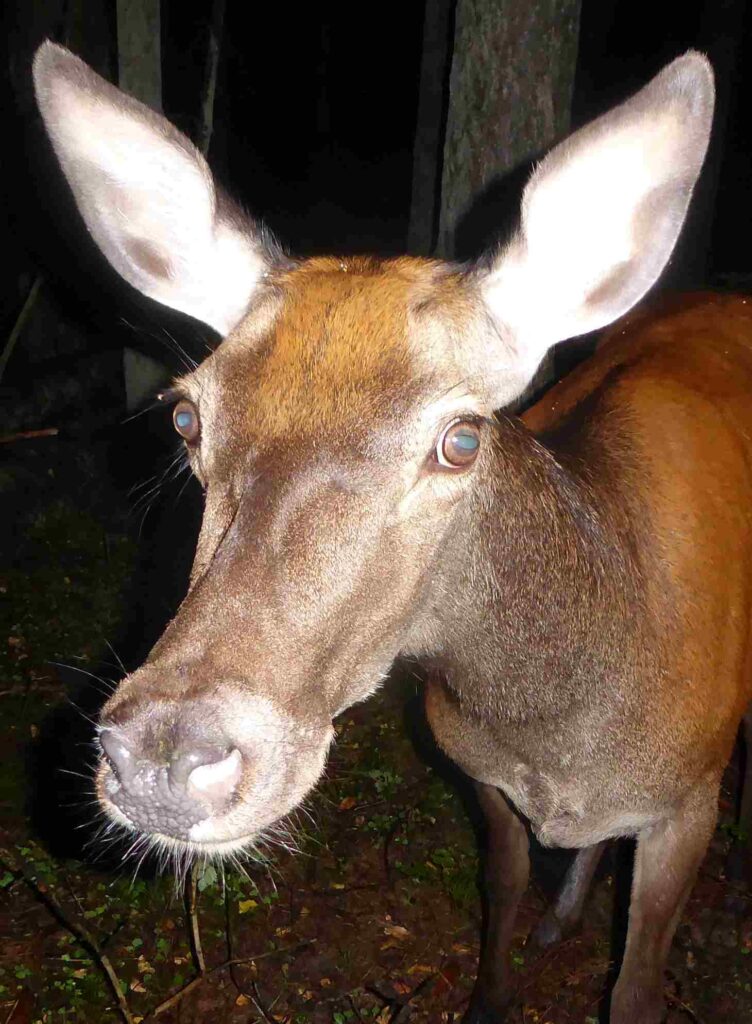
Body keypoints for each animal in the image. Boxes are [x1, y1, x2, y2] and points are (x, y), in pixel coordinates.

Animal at [33, 41, 752, 1023]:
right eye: (185, 417)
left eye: (461, 437)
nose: (164, 756)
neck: (563, 734)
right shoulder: (475, 768)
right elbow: (500, 885)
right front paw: (496, 989)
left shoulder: (691, 802)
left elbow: (637, 985)